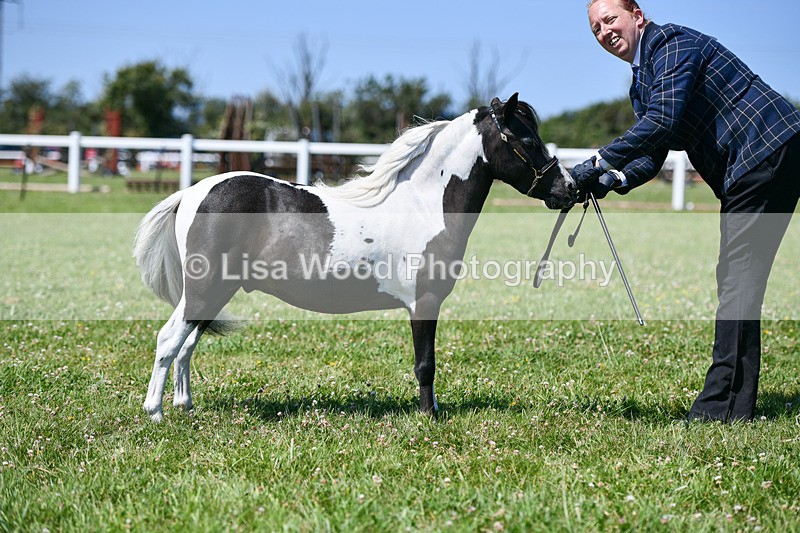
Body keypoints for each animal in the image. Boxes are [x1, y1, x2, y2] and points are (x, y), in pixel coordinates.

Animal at [134, 93, 578, 422]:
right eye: (528, 142)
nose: (569, 188)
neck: (423, 204)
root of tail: (192, 192)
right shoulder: (424, 302)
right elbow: (425, 364)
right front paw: (429, 416)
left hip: (214, 292)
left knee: (186, 345)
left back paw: (185, 406)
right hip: (204, 289)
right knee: (169, 340)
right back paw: (155, 412)